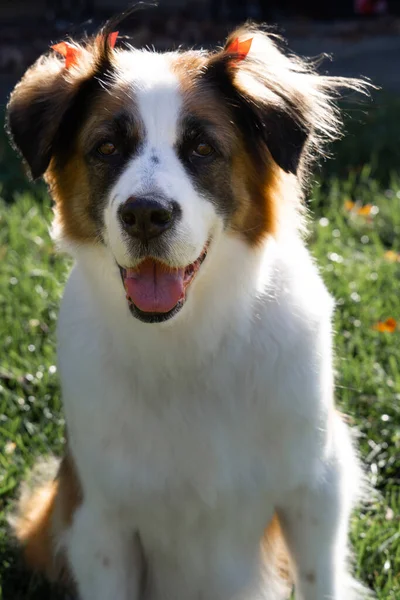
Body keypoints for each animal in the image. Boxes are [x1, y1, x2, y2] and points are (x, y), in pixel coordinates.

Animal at [6, 9, 368, 600]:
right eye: (107, 148)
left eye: (202, 149)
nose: (145, 214)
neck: (190, 340)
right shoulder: (100, 518)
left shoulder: (315, 488)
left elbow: (321, 578)